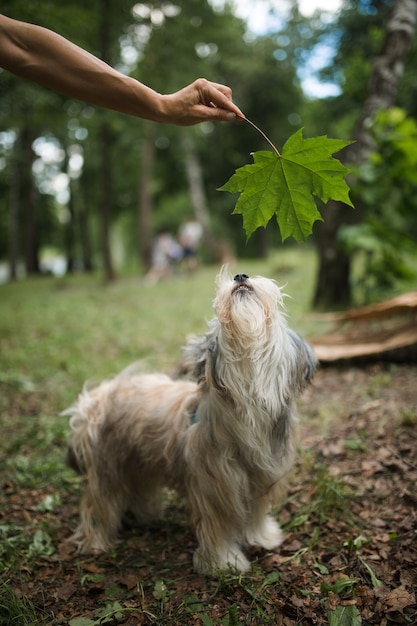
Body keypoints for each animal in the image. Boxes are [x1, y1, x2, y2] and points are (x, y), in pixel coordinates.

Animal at [63, 266, 314, 572]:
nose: (240, 275)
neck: (249, 398)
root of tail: (93, 400)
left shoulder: (259, 476)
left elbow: (255, 512)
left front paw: (262, 537)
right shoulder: (215, 484)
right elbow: (217, 528)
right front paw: (224, 563)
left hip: (138, 460)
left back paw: (148, 514)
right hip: (107, 468)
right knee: (97, 505)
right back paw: (96, 542)